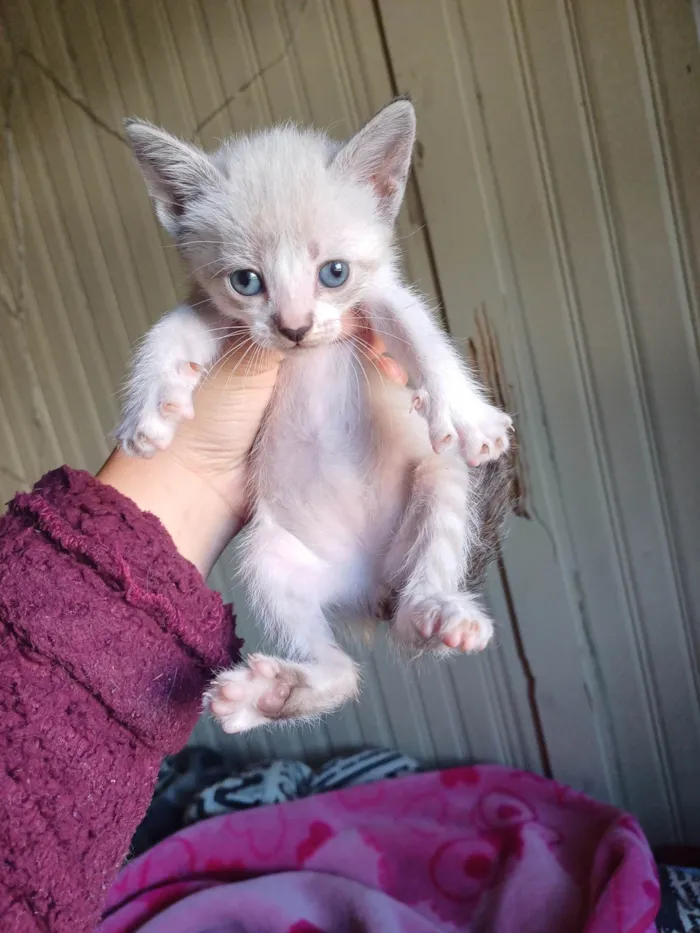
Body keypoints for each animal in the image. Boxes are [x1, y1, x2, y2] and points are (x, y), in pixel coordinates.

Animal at [117, 98, 516, 732]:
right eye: (246, 281)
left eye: (334, 272)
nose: (294, 328)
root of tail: (366, 588)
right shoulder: (215, 313)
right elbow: (171, 327)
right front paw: (147, 410)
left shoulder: (378, 296)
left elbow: (419, 331)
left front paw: (467, 414)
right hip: (267, 558)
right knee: (345, 672)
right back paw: (275, 693)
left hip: (438, 487)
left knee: (415, 604)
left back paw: (440, 612)